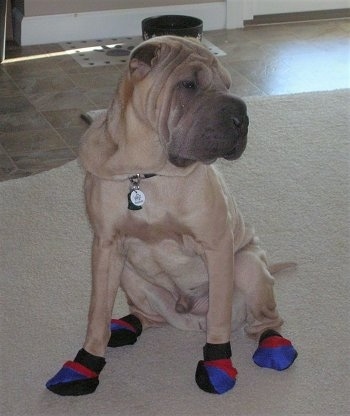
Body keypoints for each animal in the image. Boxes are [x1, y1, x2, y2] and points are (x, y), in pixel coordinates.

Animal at [46, 35, 296, 396]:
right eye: (188, 84)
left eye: (228, 85)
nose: (242, 117)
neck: (145, 172)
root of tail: (189, 316)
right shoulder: (105, 246)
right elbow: (96, 314)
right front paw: (86, 363)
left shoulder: (216, 245)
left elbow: (219, 320)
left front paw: (217, 366)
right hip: (128, 273)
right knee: (146, 315)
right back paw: (126, 326)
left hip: (248, 266)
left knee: (265, 321)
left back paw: (273, 345)